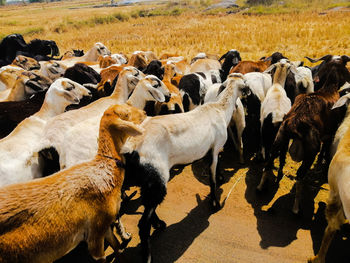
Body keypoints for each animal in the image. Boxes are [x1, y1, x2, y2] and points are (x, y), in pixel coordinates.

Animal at [0, 104, 146, 262]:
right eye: (126, 114)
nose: (144, 112)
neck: (103, 168)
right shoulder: (95, 238)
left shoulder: (102, 225)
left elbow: (117, 246)